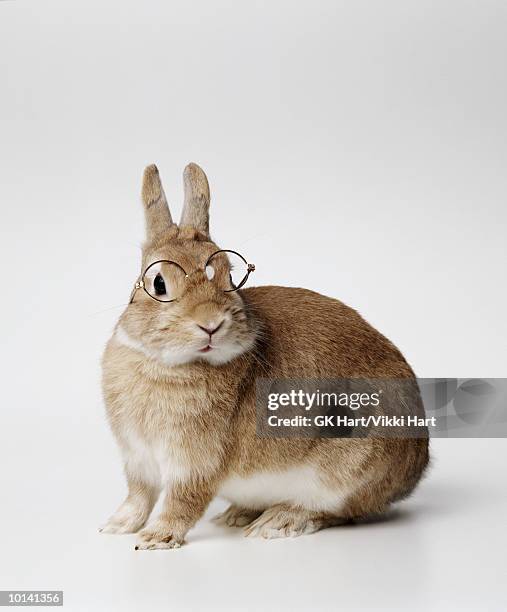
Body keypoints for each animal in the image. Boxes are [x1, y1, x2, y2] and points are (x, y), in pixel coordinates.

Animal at [101, 163, 430, 548]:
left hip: (345, 472)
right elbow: (139, 496)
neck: (167, 363)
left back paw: (277, 522)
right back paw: (237, 514)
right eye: (158, 283)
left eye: (230, 277)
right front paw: (116, 525)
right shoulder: (138, 460)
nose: (211, 324)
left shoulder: (196, 462)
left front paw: (156, 538)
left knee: (334, 511)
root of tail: (417, 466)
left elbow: (182, 501)